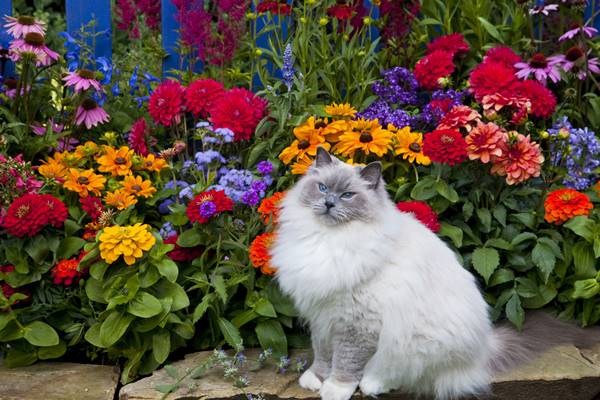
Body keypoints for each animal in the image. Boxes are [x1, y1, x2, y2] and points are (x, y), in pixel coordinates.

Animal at [272, 148, 600, 400]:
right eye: (323, 189)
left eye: (348, 195)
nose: (328, 204)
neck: (329, 239)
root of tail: (485, 344)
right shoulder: (322, 314)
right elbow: (323, 353)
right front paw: (315, 379)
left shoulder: (356, 323)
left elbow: (345, 362)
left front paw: (334, 389)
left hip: (416, 341)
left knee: (406, 373)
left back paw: (373, 383)